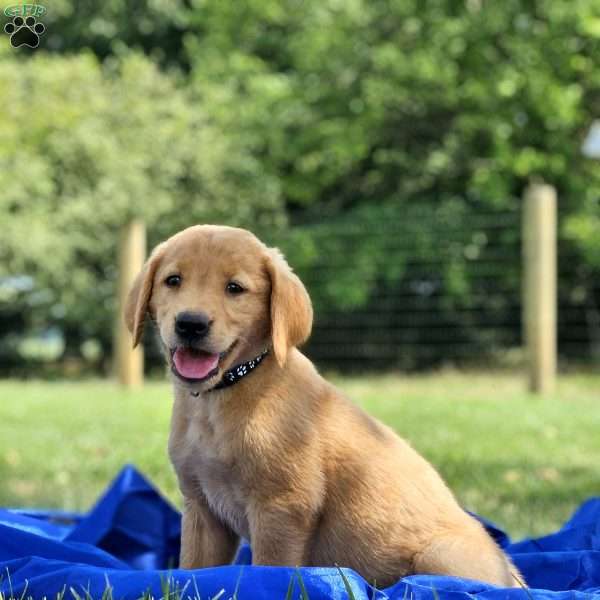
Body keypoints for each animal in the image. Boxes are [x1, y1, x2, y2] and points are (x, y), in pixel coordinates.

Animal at [124, 224, 524, 584]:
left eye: (234, 288)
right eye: (173, 280)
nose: (190, 324)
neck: (222, 397)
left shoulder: (281, 507)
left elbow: (270, 569)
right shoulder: (201, 509)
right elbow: (193, 571)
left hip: (440, 554)